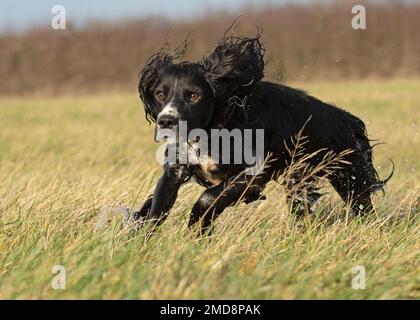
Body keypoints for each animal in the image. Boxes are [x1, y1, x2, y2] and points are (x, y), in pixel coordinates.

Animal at [133, 33, 392, 235]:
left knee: (362, 206)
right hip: (300, 182)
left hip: (348, 175)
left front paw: (197, 227)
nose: (166, 120)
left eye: (194, 95)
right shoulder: (175, 169)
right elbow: (157, 207)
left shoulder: (253, 176)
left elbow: (208, 198)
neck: (211, 132)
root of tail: (344, 118)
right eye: (160, 94)